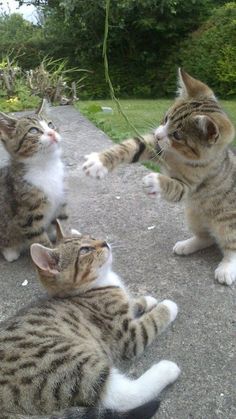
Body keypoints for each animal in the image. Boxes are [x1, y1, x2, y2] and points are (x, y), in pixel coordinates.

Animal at [0, 99, 67, 262]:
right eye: (33, 131)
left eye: (50, 124)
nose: (52, 133)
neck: (46, 167)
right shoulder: (27, 215)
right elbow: (39, 238)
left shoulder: (60, 199)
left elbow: (59, 222)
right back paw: (10, 251)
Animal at [0, 221, 180, 418]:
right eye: (84, 250)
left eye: (92, 237)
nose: (105, 242)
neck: (98, 285)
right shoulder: (129, 336)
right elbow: (152, 321)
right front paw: (168, 306)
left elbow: (132, 303)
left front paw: (146, 300)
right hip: (65, 363)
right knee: (118, 395)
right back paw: (167, 369)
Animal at [83, 69, 236, 286]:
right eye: (165, 118)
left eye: (178, 135)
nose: (157, 134)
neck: (181, 157)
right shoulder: (156, 148)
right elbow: (133, 147)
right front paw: (99, 162)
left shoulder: (192, 184)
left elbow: (176, 187)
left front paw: (154, 182)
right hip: (193, 215)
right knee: (206, 237)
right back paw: (187, 245)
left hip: (227, 223)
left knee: (230, 246)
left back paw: (227, 268)